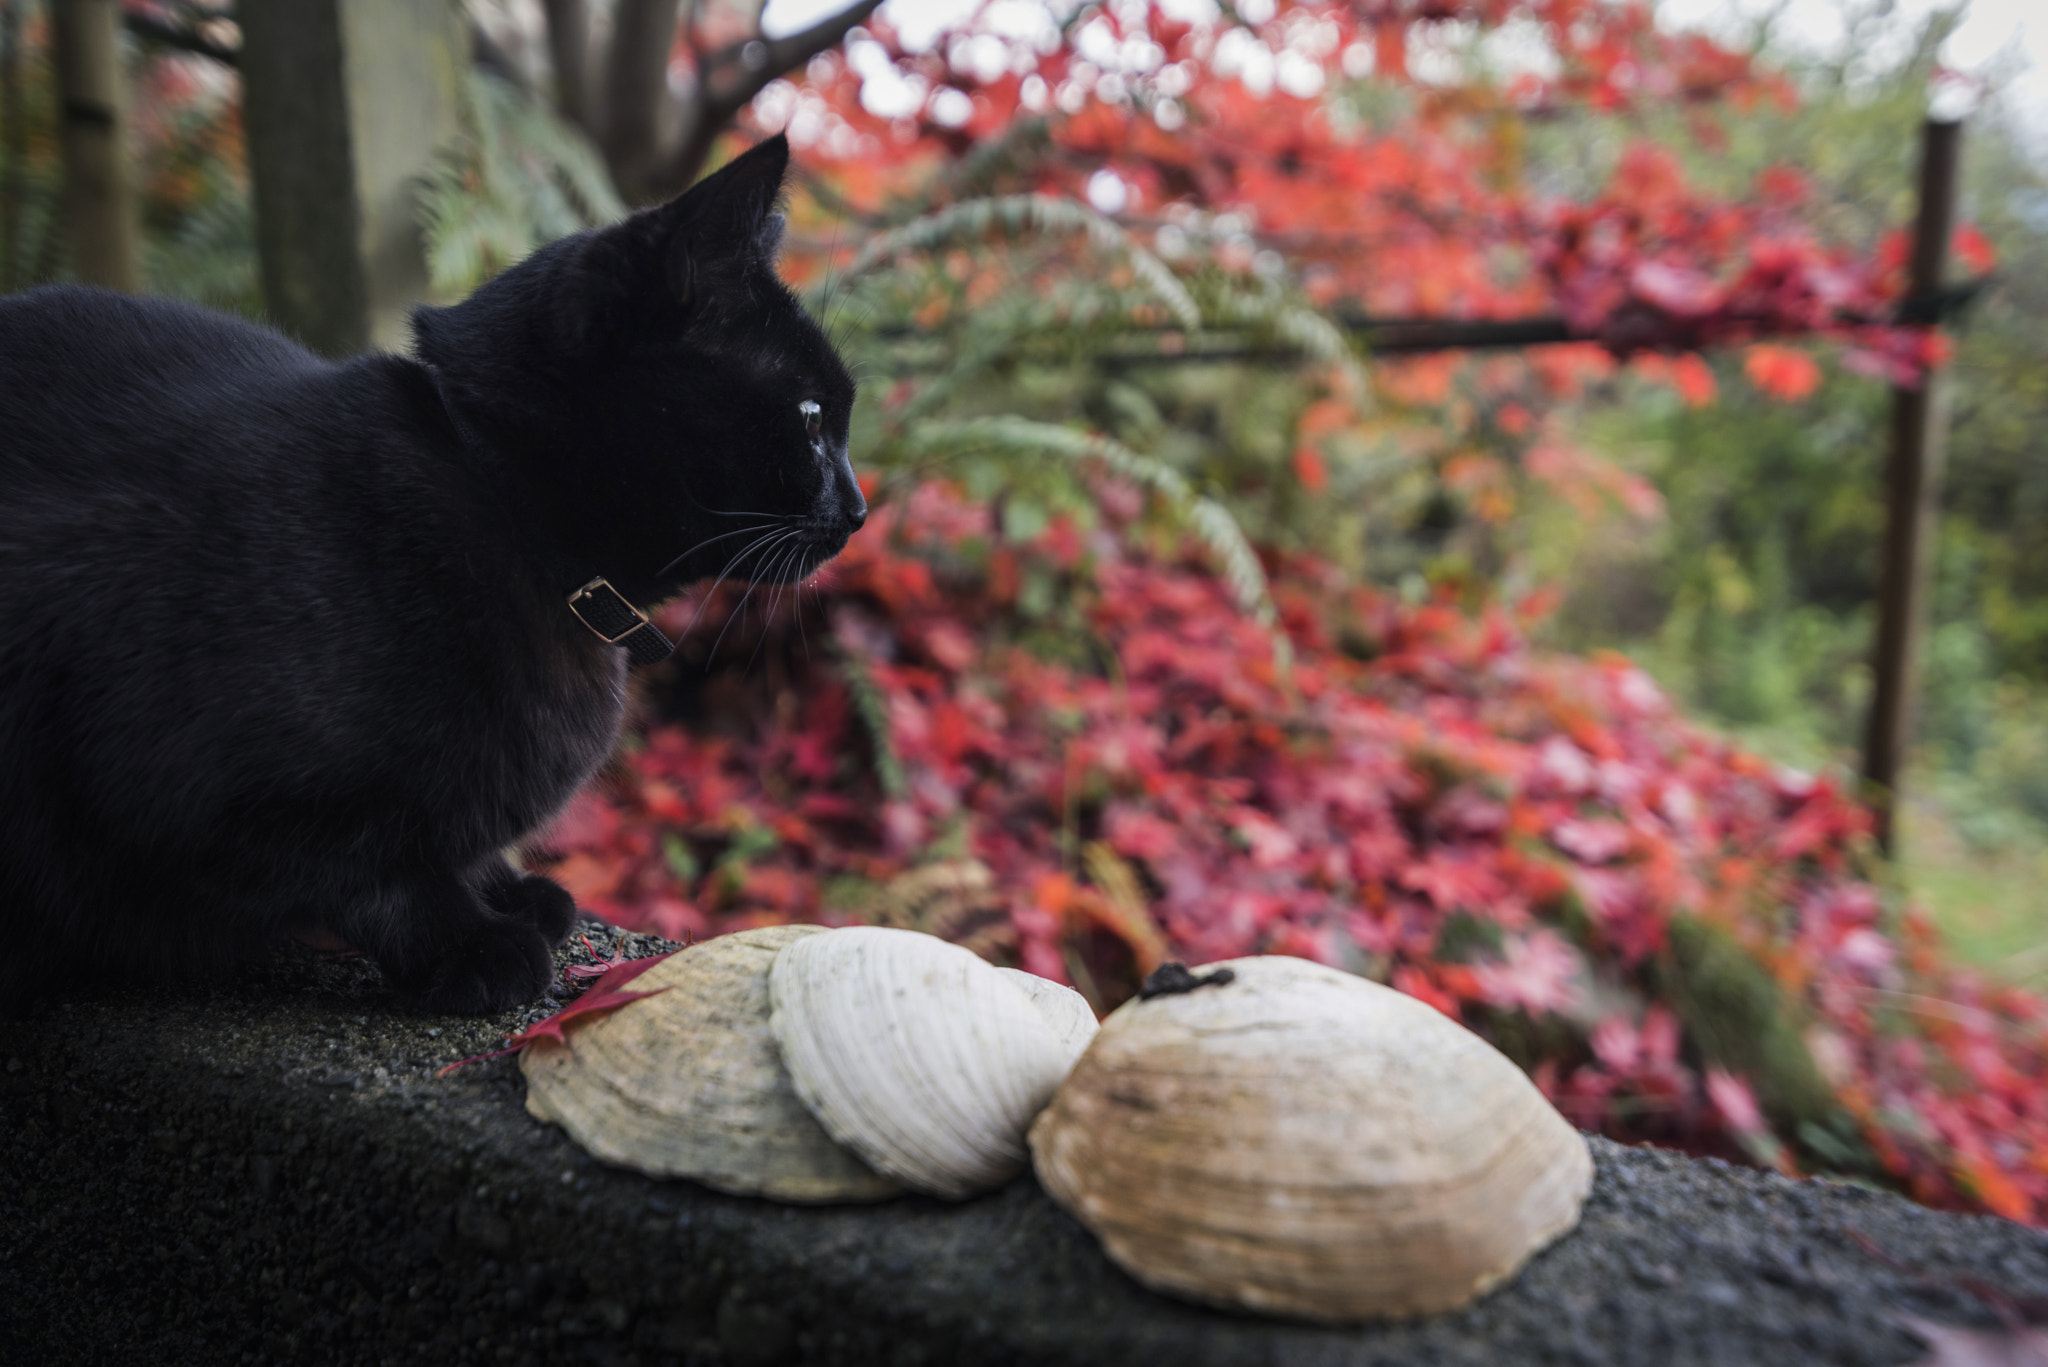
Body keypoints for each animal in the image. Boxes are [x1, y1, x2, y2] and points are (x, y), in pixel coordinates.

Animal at [0, 136, 864, 1016]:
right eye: (812, 418)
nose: (861, 508)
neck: (506, 495)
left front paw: (509, 889)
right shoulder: (170, 778)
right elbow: (368, 868)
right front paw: (469, 941)